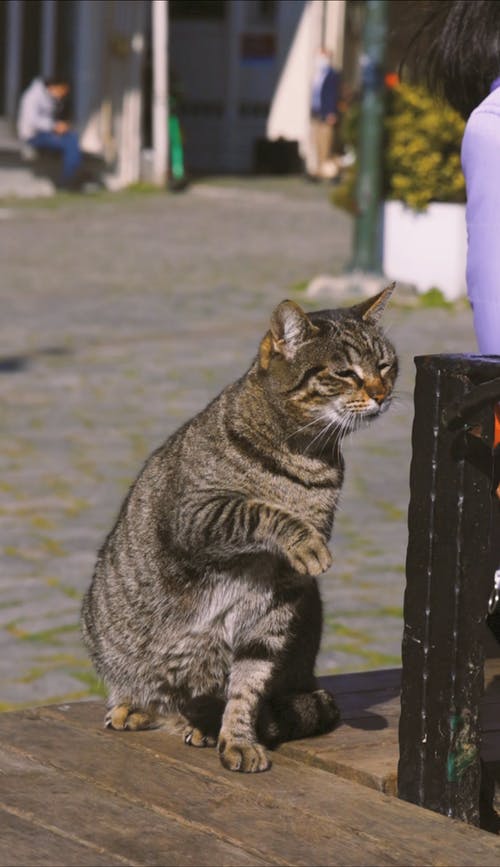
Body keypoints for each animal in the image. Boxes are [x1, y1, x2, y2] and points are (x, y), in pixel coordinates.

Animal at [80, 284, 396, 772]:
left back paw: (201, 724)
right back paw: (135, 705)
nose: (381, 394)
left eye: (385, 365)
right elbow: (259, 510)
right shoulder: (197, 515)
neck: (307, 460)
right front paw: (303, 538)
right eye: (345, 372)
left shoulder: (279, 598)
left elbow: (248, 682)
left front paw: (238, 737)